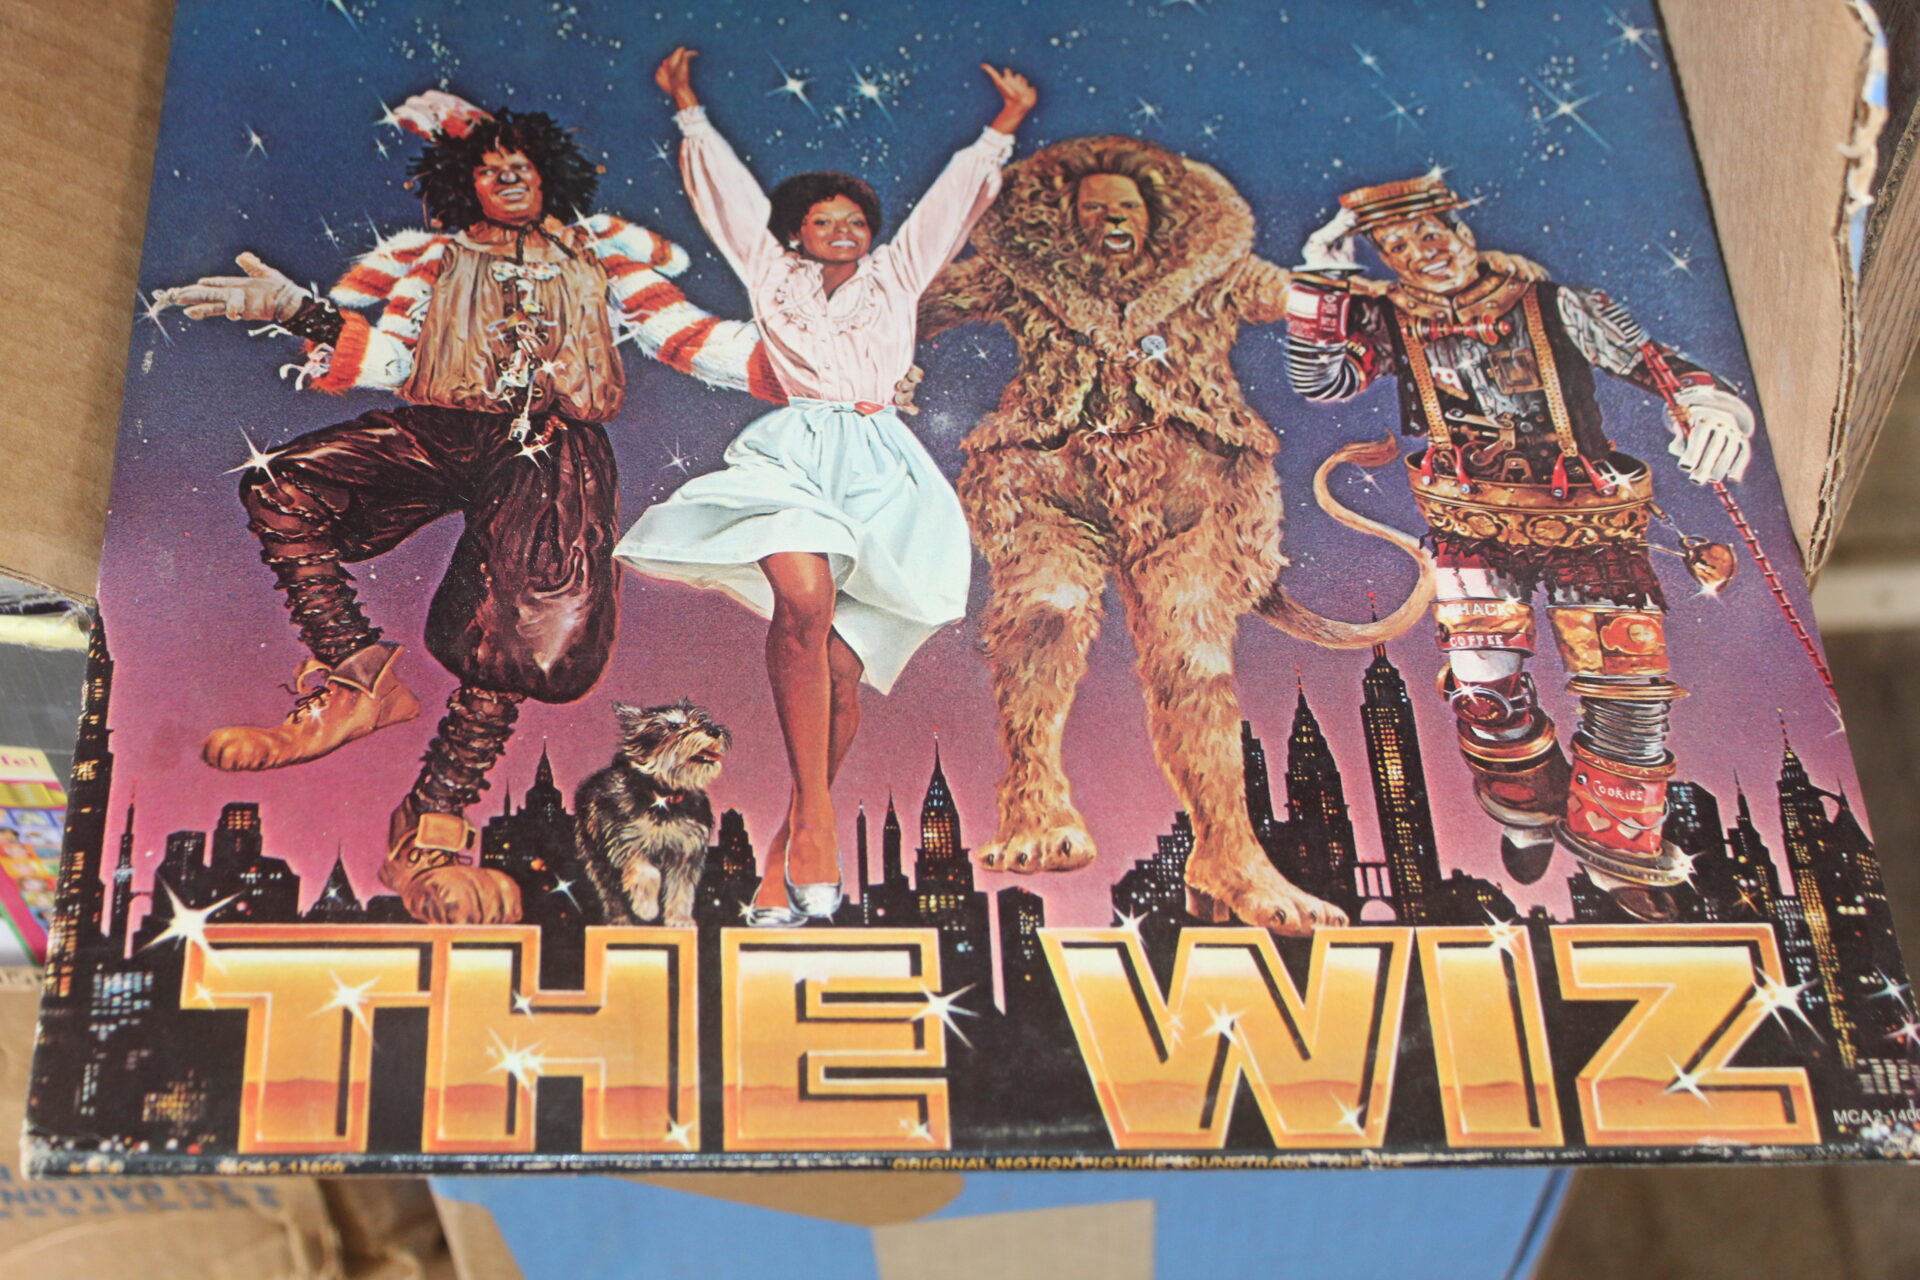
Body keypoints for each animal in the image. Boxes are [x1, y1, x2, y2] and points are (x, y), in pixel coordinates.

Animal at [573, 700, 730, 927]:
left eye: (702, 721)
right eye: (673, 726)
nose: (714, 731)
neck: (663, 794)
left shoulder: (686, 851)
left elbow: (681, 889)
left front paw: (679, 919)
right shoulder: (625, 842)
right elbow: (647, 873)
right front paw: (646, 908)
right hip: (596, 855)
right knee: (609, 891)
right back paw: (620, 920)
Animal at [918, 136, 1434, 935]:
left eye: (1127, 207)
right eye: (1095, 207)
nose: (1114, 224)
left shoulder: (1228, 285)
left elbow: (1271, 290)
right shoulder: (1002, 291)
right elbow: (947, 293)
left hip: (1200, 522)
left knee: (1187, 656)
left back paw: (1248, 884)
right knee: (1049, 617)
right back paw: (1040, 832)